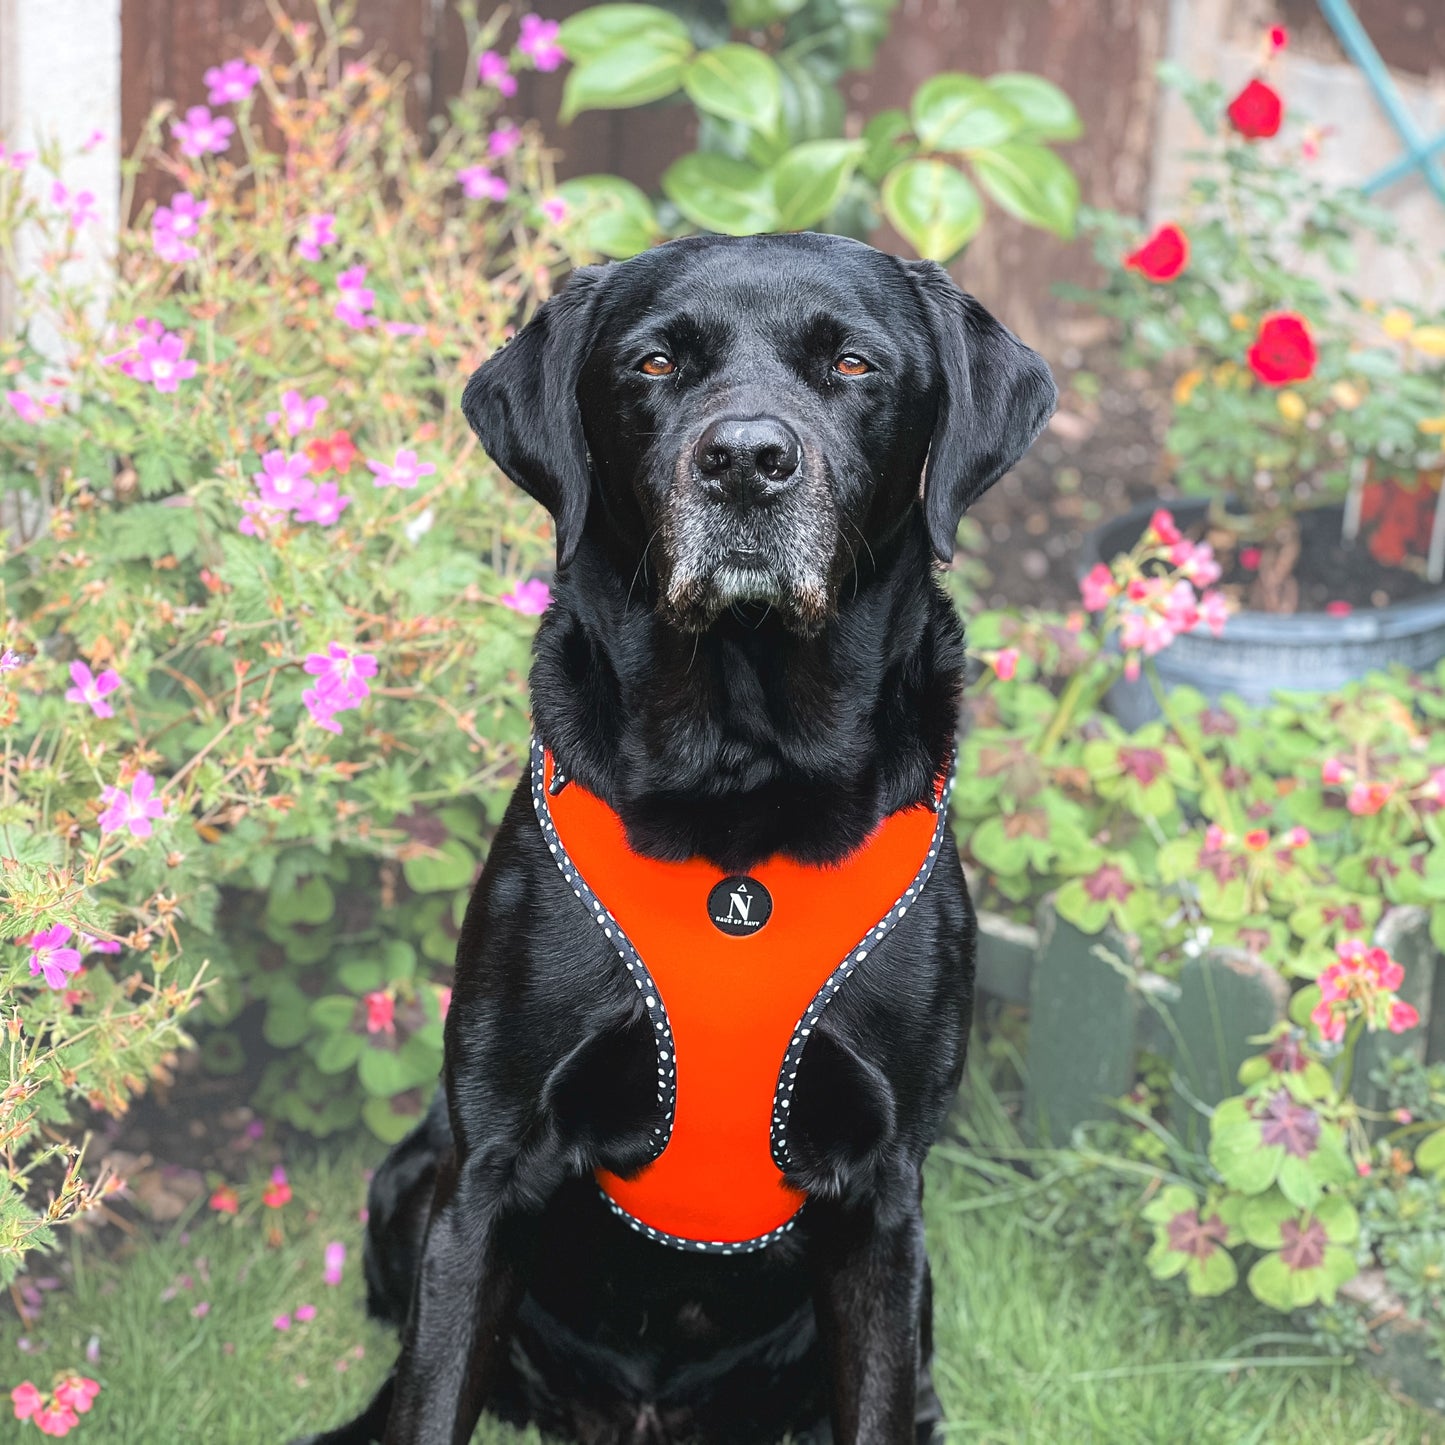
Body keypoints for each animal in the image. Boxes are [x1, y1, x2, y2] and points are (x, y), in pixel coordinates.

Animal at [302, 231, 1051, 1445]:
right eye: (654, 363)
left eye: (851, 363)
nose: (745, 460)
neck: (739, 785)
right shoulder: (487, 1169)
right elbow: (431, 1391)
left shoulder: (885, 1193)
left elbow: (880, 1398)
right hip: (409, 1179)